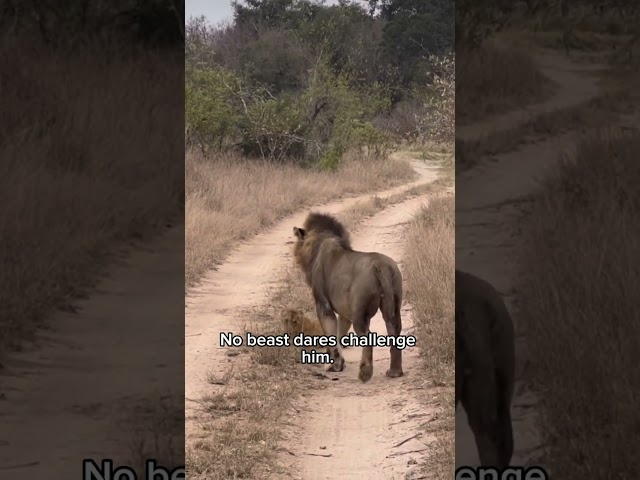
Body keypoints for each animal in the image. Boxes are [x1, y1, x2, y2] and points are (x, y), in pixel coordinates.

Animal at [292, 213, 402, 382]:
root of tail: (381, 265)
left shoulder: (323, 304)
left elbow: (330, 331)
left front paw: (334, 366)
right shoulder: (345, 312)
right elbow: (339, 332)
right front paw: (338, 363)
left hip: (360, 312)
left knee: (367, 337)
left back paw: (365, 374)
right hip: (394, 301)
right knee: (394, 330)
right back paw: (395, 372)